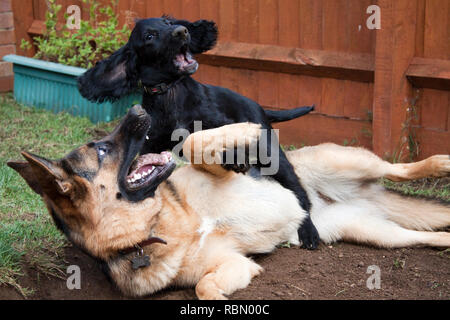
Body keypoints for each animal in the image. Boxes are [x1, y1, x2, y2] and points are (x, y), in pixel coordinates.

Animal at [7, 105, 450, 300]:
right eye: (101, 149)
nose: (137, 107)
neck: (164, 222)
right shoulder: (233, 263)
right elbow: (205, 287)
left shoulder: (216, 169)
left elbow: (195, 142)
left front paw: (245, 129)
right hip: (377, 233)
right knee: (420, 237)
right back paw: (444, 239)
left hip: (345, 162)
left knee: (398, 169)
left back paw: (439, 163)